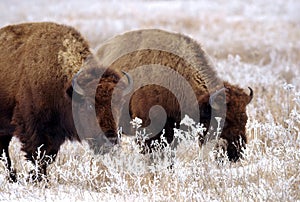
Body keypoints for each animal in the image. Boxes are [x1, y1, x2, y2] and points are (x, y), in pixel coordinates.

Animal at [0, 22, 131, 181]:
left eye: (119, 104)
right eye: (89, 105)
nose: (110, 139)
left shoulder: (55, 134)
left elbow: (48, 157)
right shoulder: (33, 128)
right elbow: (38, 156)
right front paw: (37, 179)